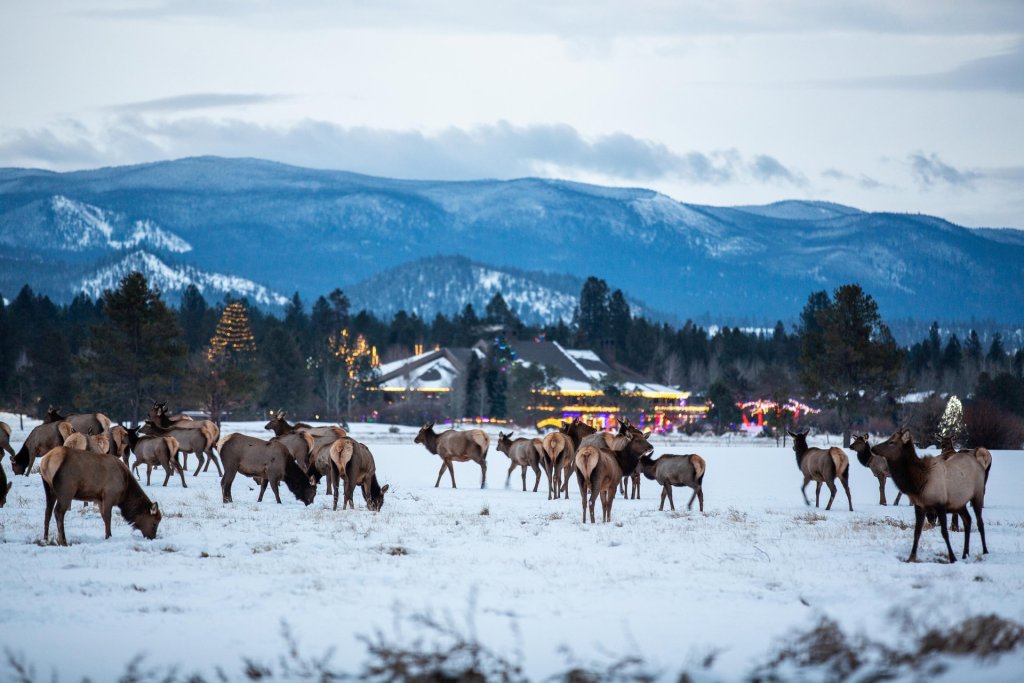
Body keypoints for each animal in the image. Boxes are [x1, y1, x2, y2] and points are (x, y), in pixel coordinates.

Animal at [872, 428, 988, 563]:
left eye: (891, 442)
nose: (873, 448)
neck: (919, 482)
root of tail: (979, 463)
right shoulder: (919, 506)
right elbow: (917, 532)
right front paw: (911, 557)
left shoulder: (940, 505)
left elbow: (944, 532)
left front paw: (952, 557)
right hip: (960, 503)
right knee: (968, 521)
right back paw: (965, 554)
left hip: (978, 495)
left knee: (980, 522)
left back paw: (985, 551)